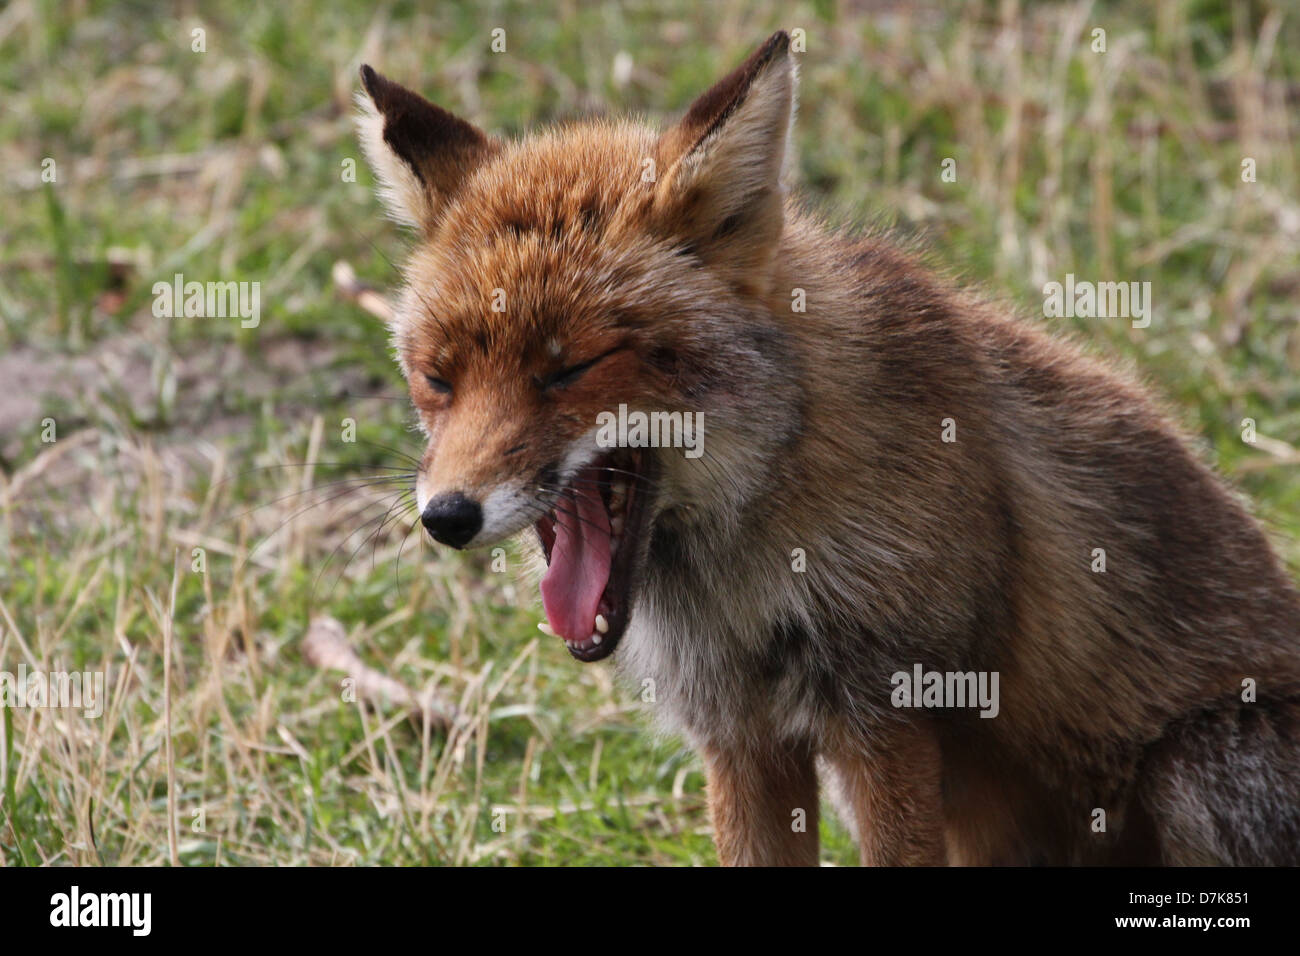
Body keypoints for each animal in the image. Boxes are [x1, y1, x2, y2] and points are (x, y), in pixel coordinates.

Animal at [356, 31, 1300, 868]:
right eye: (437, 378)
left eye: (570, 370)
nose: (445, 517)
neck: (752, 545)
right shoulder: (738, 732)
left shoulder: (886, 708)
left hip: (1193, 776)